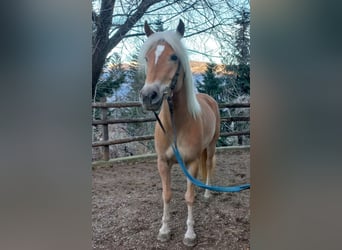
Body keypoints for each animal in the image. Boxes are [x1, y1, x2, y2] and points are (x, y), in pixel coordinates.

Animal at [140, 19, 222, 246]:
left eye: (174, 56)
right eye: (147, 57)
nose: (149, 96)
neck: (175, 126)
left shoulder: (191, 163)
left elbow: (188, 197)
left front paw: (190, 234)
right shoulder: (163, 163)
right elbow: (167, 195)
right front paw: (164, 230)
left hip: (211, 145)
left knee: (208, 165)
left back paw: (207, 193)